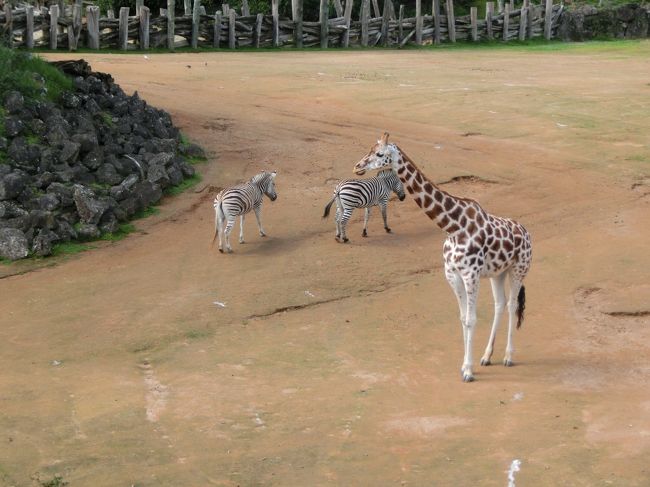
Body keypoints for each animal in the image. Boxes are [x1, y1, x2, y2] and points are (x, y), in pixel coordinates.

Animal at [352, 132, 528, 382]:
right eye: (369, 149)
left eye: (379, 153)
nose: (357, 166)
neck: (453, 226)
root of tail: (526, 232)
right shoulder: (452, 274)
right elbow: (463, 319)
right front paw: (465, 366)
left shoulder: (471, 275)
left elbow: (471, 319)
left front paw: (468, 371)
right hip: (498, 272)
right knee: (500, 304)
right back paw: (487, 356)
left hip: (519, 269)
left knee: (512, 305)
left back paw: (508, 357)